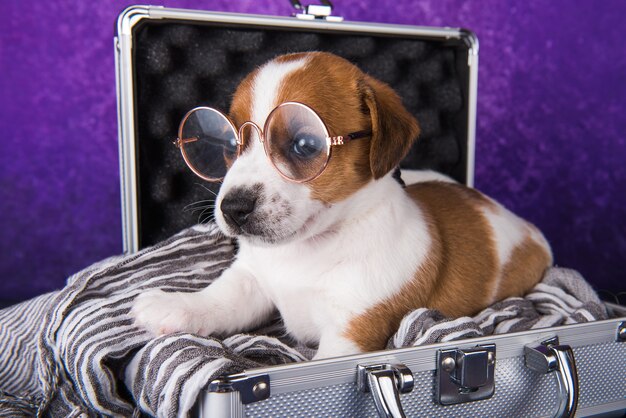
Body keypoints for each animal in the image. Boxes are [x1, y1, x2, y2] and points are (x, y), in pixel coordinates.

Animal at [129, 51, 548, 360]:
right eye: (229, 145)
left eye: (304, 145)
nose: (233, 208)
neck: (306, 251)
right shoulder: (252, 281)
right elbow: (220, 298)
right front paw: (178, 305)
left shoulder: (350, 333)